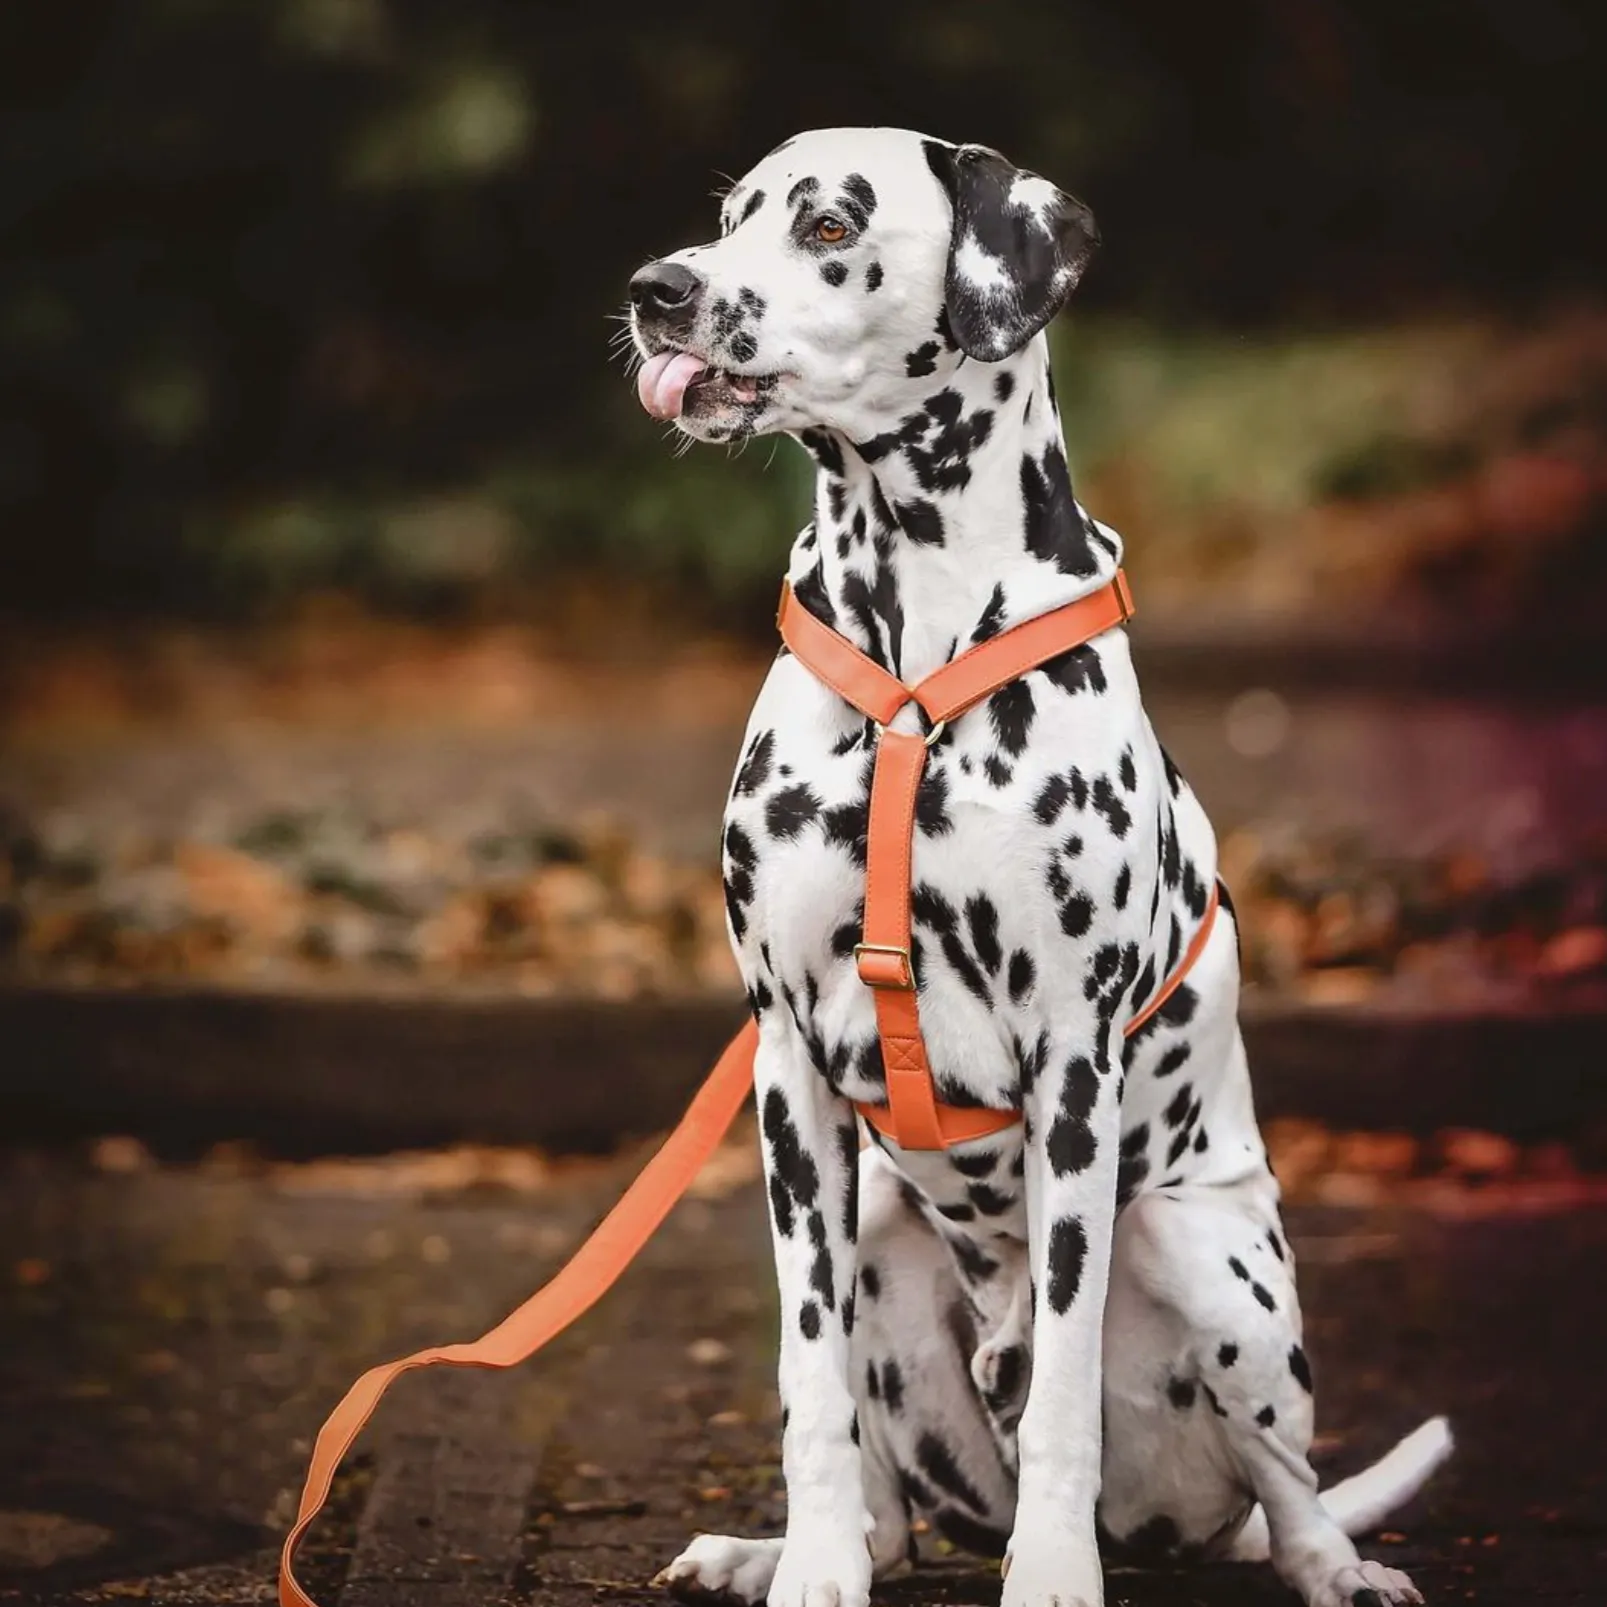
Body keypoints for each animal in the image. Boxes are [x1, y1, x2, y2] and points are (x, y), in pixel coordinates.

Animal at [620, 128, 1452, 1607]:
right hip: (882, 1228)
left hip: (1204, 1257)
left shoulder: (1071, 1068)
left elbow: (1062, 1377)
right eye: (729, 215)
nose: (656, 290)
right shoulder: (785, 1077)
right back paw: (766, 1550)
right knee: (896, 1501)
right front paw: (810, 1564)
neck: (911, 663)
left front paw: (1050, 1571)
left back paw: (1331, 1563)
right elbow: (803, 1377)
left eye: (827, 224)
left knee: (1287, 1485)